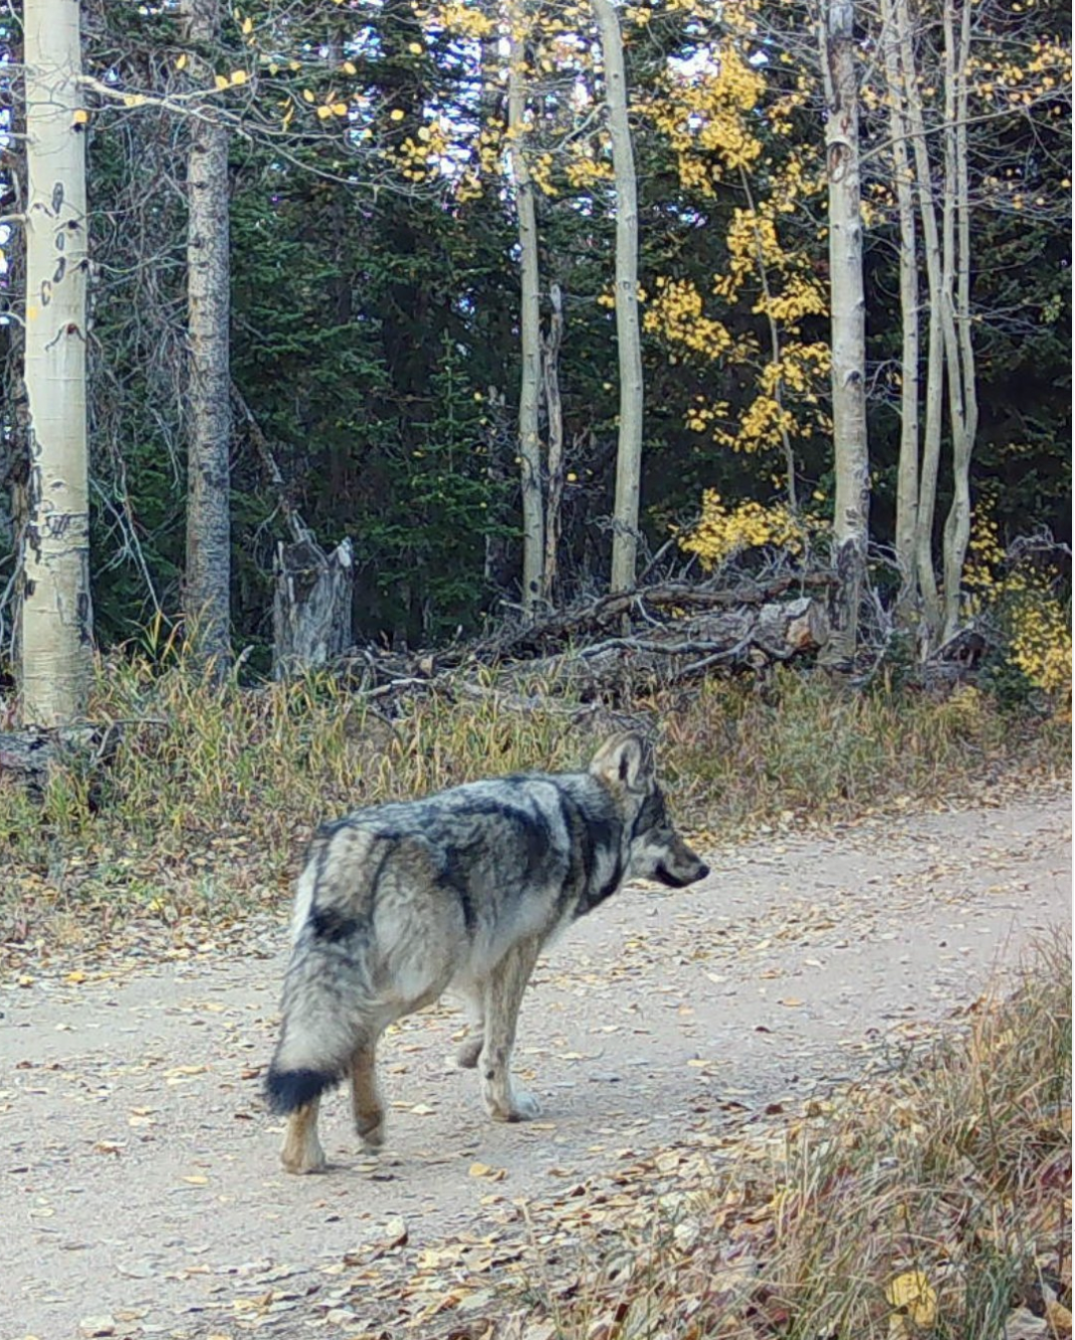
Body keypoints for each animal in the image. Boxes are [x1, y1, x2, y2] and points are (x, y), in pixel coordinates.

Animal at [264, 732, 709, 1173]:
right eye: (664, 827)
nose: (704, 868)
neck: (583, 822)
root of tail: (354, 839)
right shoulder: (519, 948)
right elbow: (502, 1038)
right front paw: (507, 1108)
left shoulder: (482, 959)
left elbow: (485, 1023)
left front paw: (466, 1055)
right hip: (425, 980)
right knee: (357, 1036)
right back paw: (363, 1125)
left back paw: (302, 1155)